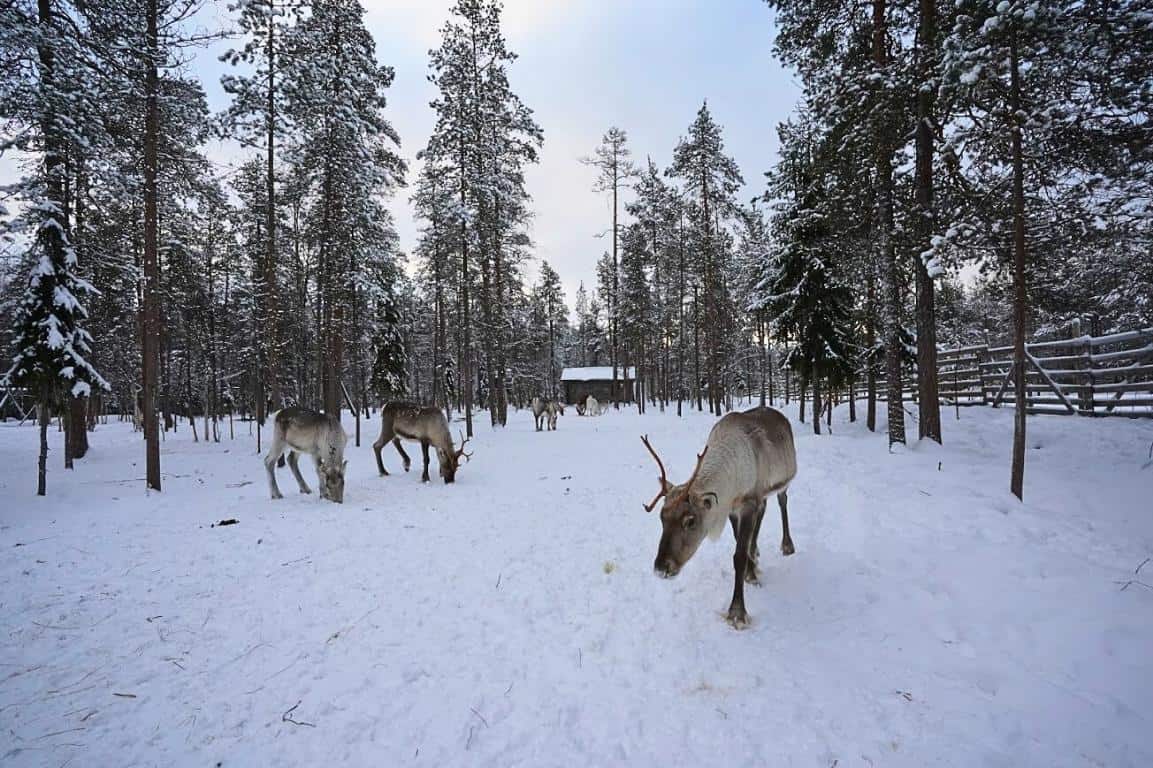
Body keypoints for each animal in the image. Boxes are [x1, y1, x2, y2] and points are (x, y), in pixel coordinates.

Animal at [641, 406, 797, 629]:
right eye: (662, 518)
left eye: (690, 520)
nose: (661, 568)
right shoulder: (733, 506)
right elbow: (739, 542)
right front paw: (751, 571)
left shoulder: (749, 501)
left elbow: (739, 556)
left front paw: (737, 612)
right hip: (763, 494)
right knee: (764, 510)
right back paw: (755, 550)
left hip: (784, 481)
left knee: (782, 501)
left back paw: (787, 546)